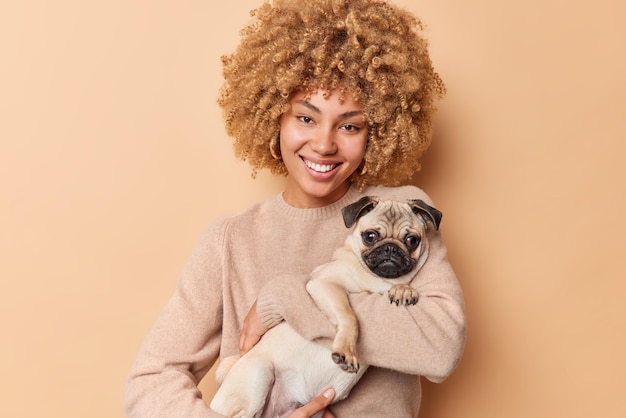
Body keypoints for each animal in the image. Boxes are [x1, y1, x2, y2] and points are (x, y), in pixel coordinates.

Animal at [208, 196, 438, 418]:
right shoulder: (324, 284)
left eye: (412, 240)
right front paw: (346, 351)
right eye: (370, 236)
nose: (391, 248)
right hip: (258, 375)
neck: (380, 280)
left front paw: (404, 290)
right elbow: (350, 317)